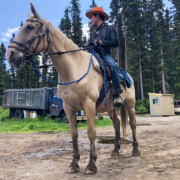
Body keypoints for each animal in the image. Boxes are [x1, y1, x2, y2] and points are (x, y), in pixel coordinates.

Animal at [7, 3, 140, 174]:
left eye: (30, 27)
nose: (11, 54)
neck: (73, 71)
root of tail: (127, 74)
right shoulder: (69, 108)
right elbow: (74, 134)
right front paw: (74, 164)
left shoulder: (89, 106)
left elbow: (91, 133)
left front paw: (91, 165)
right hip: (110, 108)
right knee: (117, 125)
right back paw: (115, 151)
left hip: (130, 103)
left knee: (133, 124)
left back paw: (135, 150)